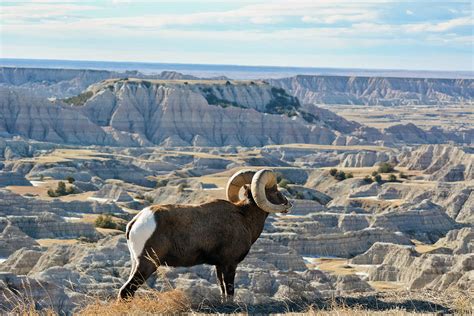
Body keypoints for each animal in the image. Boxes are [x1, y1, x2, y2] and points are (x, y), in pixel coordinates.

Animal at [117, 169, 292, 300]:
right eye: (274, 189)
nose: (288, 204)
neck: (244, 217)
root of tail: (136, 221)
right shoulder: (230, 264)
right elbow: (230, 291)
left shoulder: (219, 265)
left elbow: (223, 291)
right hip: (147, 264)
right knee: (126, 291)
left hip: (137, 263)